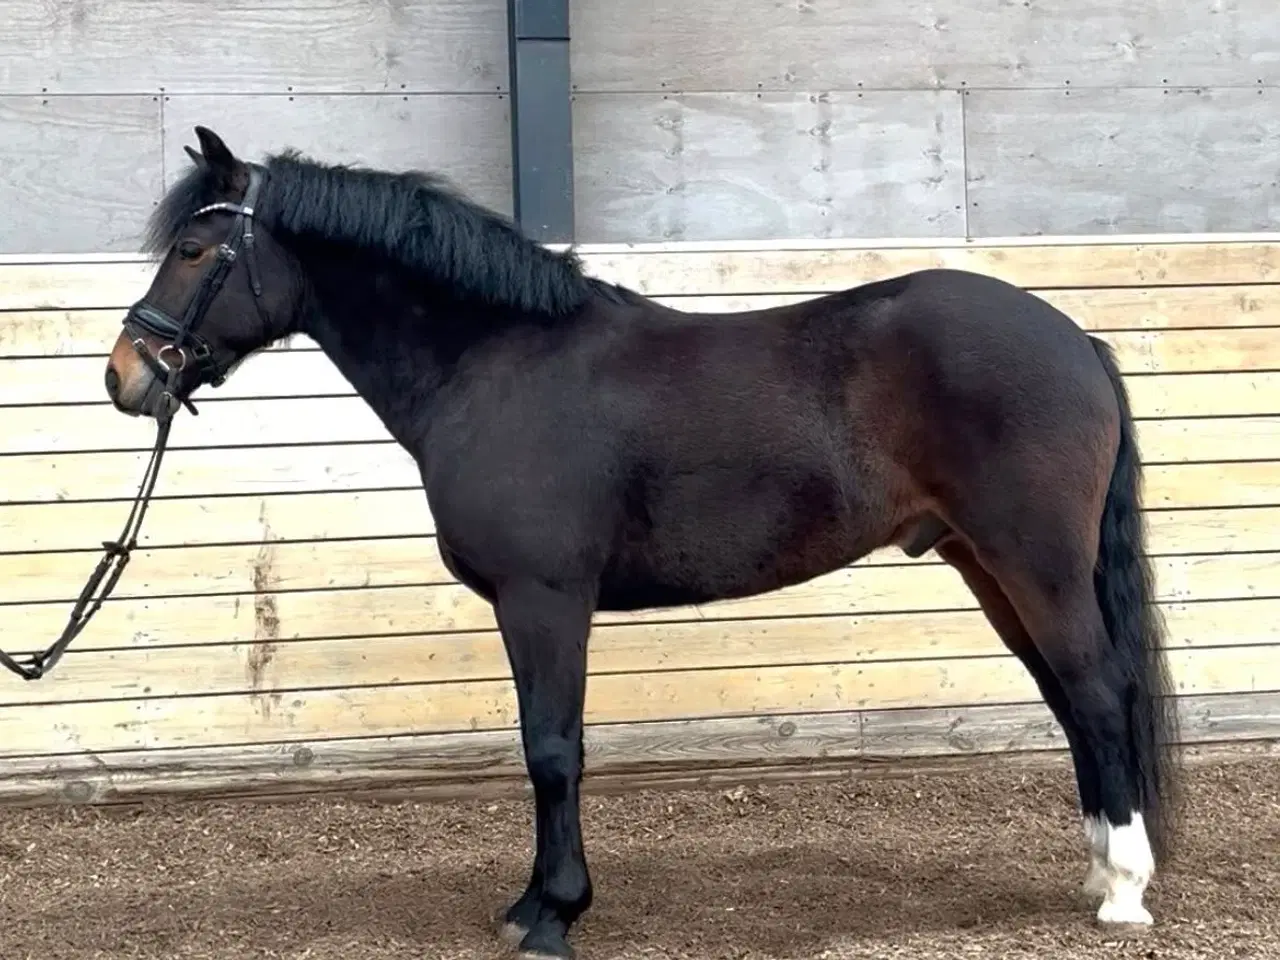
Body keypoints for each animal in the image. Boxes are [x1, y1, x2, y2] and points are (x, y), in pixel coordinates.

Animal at [104, 125, 1180, 958]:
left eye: (196, 250)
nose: (126, 373)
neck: (494, 364)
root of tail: (1074, 341)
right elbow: (548, 745)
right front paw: (533, 902)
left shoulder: (544, 599)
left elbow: (551, 749)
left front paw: (553, 915)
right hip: (986, 563)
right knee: (1069, 699)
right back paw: (1098, 872)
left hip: (1033, 561)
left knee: (1094, 690)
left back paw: (1124, 891)